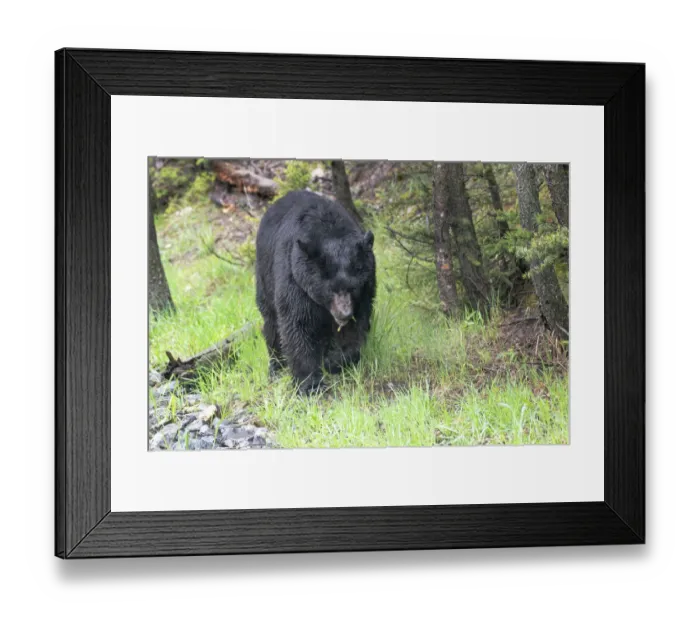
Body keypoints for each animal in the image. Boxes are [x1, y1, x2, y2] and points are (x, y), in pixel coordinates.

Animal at [255, 190, 376, 394]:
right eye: (331, 289)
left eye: (353, 287)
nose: (344, 314)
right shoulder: (295, 282)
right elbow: (297, 325)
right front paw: (309, 384)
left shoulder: (366, 289)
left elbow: (357, 327)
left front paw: (334, 361)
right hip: (265, 277)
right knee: (271, 322)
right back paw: (276, 366)